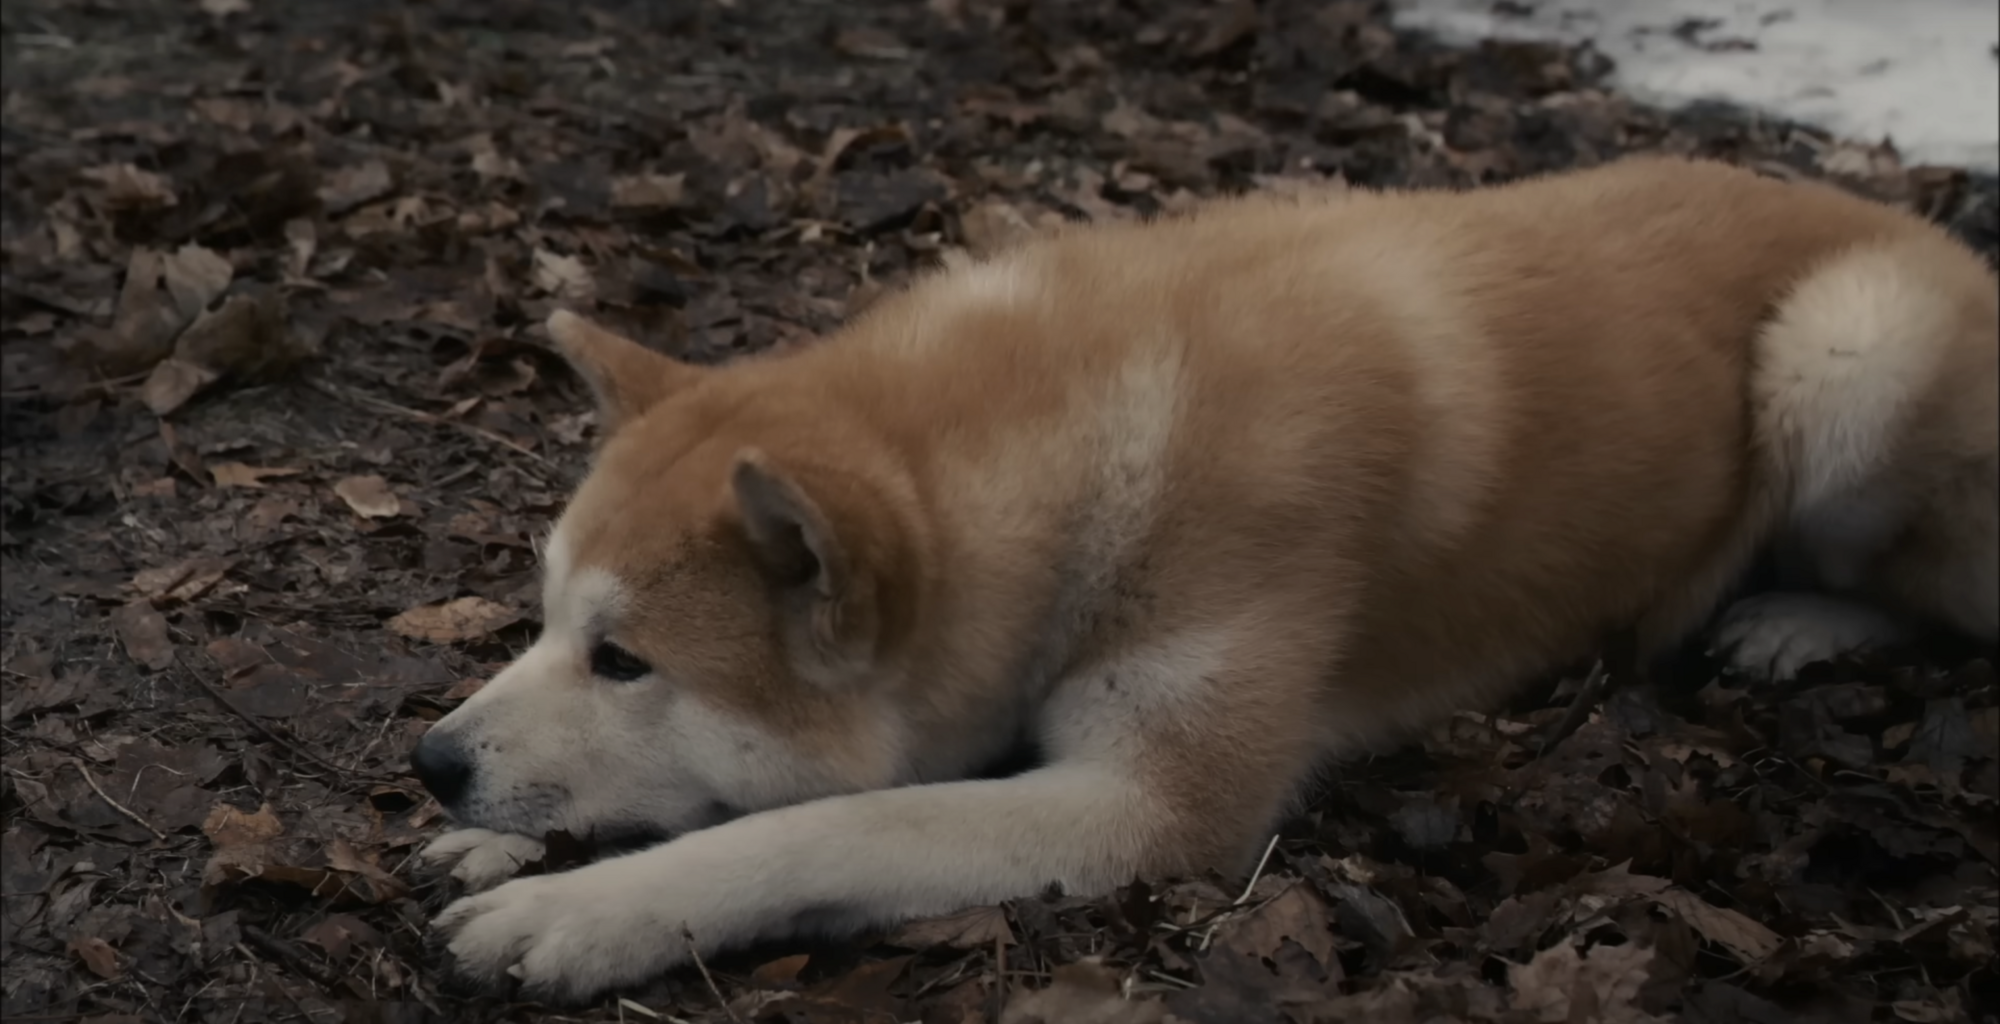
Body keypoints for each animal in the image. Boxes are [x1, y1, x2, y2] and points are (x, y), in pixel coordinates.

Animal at [410, 156, 2000, 1004]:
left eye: (627, 659)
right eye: (545, 619)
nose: (429, 761)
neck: (1103, 434)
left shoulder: (1151, 806)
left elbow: (820, 826)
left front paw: (590, 911)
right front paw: (502, 844)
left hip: (1844, 348)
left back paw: (1797, 619)